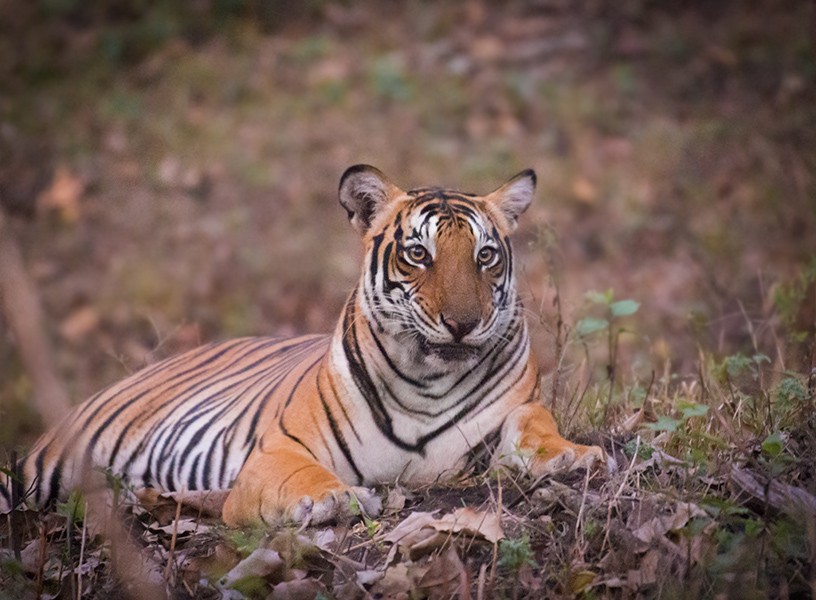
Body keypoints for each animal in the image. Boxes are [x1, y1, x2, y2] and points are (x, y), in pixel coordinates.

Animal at [1, 165, 605, 526]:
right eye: (419, 254)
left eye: (485, 256)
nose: (463, 323)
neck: (428, 381)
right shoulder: (277, 450)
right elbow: (301, 474)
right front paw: (332, 497)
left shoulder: (518, 408)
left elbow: (535, 422)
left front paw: (569, 454)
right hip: (40, 469)